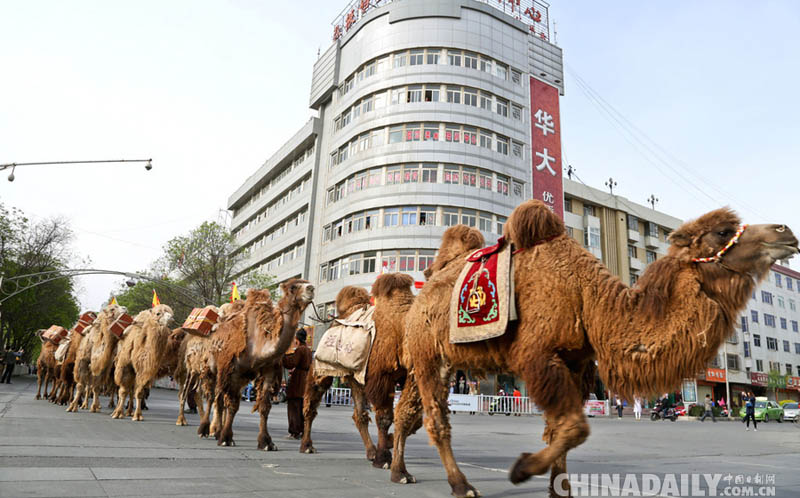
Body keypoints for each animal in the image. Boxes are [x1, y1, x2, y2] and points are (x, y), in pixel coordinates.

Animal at [186, 280, 314, 448]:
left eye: (307, 283)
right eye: (293, 287)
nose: (311, 288)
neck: (258, 342)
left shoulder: (268, 371)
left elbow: (264, 406)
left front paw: (266, 442)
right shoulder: (235, 371)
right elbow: (233, 405)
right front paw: (226, 438)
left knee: (219, 398)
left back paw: (217, 431)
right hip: (211, 367)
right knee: (212, 396)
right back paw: (205, 430)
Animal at [302, 272, 422, 470]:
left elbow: (416, 419)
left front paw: (388, 444)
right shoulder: (382, 376)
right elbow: (385, 417)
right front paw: (384, 458)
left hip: (355, 376)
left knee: (359, 414)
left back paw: (371, 451)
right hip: (322, 368)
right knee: (313, 400)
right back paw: (306, 445)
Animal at [390, 200, 796, 496]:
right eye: (723, 232)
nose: (786, 231)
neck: (587, 298)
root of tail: (423, 293)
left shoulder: (575, 364)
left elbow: (561, 430)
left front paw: (558, 490)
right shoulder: (538, 355)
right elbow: (575, 428)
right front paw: (521, 470)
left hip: (436, 361)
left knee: (408, 411)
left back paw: (399, 471)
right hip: (427, 354)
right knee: (436, 420)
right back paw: (460, 485)